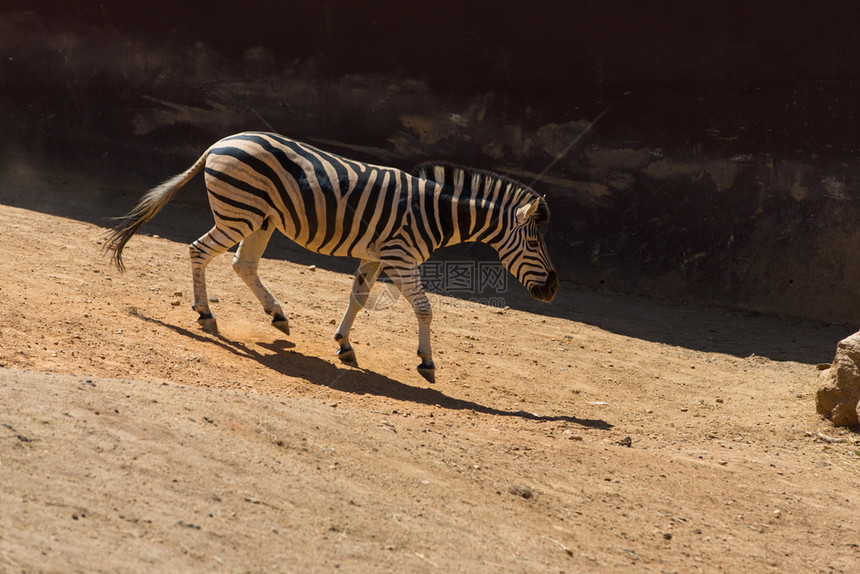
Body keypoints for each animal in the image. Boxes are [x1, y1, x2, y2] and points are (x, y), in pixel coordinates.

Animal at [106, 131, 556, 382]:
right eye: (535, 245)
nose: (552, 290)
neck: (434, 212)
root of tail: (221, 142)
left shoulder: (377, 256)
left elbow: (357, 297)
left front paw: (344, 345)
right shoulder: (400, 256)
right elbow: (425, 309)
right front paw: (427, 362)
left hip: (260, 219)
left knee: (243, 264)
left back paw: (277, 315)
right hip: (240, 213)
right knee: (199, 250)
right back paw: (205, 314)